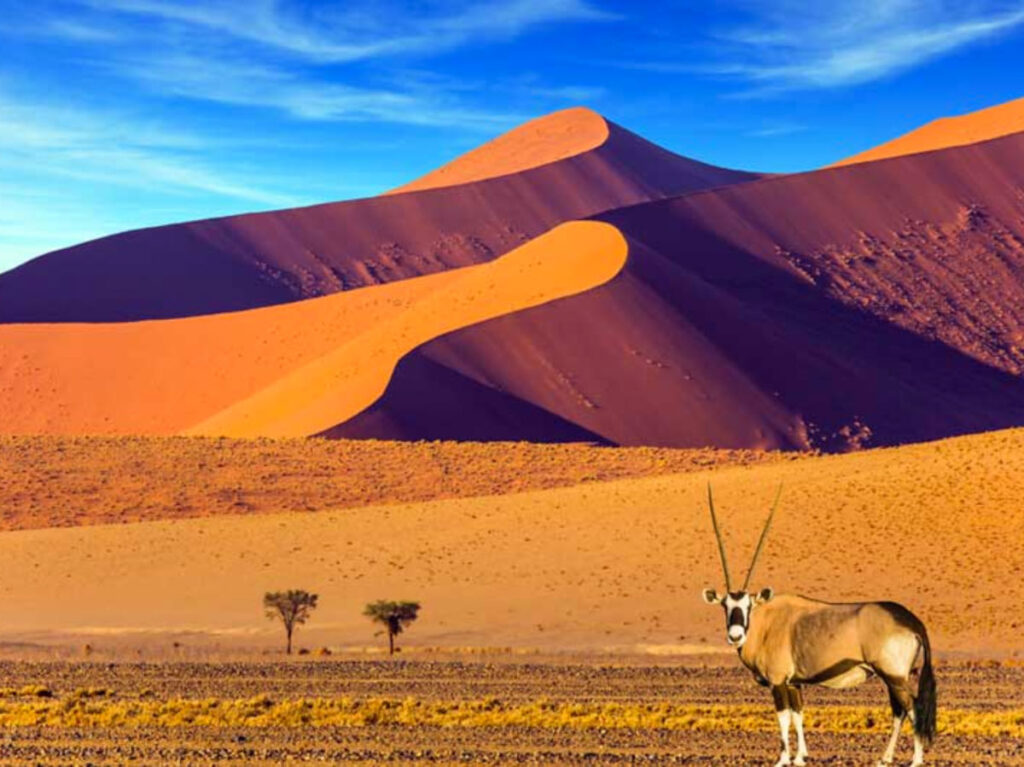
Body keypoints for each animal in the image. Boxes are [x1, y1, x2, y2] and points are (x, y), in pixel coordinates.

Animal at [701, 485, 936, 767]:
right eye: (725, 605)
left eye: (748, 606)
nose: (735, 636)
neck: (765, 625)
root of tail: (912, 621)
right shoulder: (794, 683)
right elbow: (798, 715)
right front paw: (801, 756)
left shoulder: (778, 682)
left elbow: (783, 718)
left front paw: (783, 758)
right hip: (895, 677)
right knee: (899, 711)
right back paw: (885, 757)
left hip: (894, 675)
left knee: (913, 708)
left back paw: (916, 759)